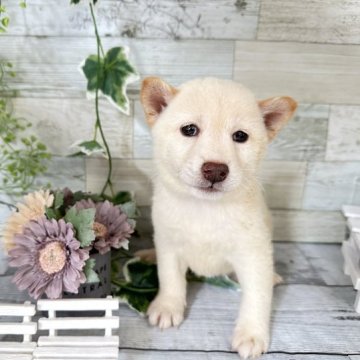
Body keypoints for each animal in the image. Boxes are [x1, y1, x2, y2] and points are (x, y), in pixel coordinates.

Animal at [139, 77, 296, 358]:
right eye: (189, 129)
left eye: (240, 136)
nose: (215, 170)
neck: (205, 209)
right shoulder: (169, 244)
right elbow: (170, 278)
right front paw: (168, 306)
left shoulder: (253, 252)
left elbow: (257, 296)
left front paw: (252, 333)